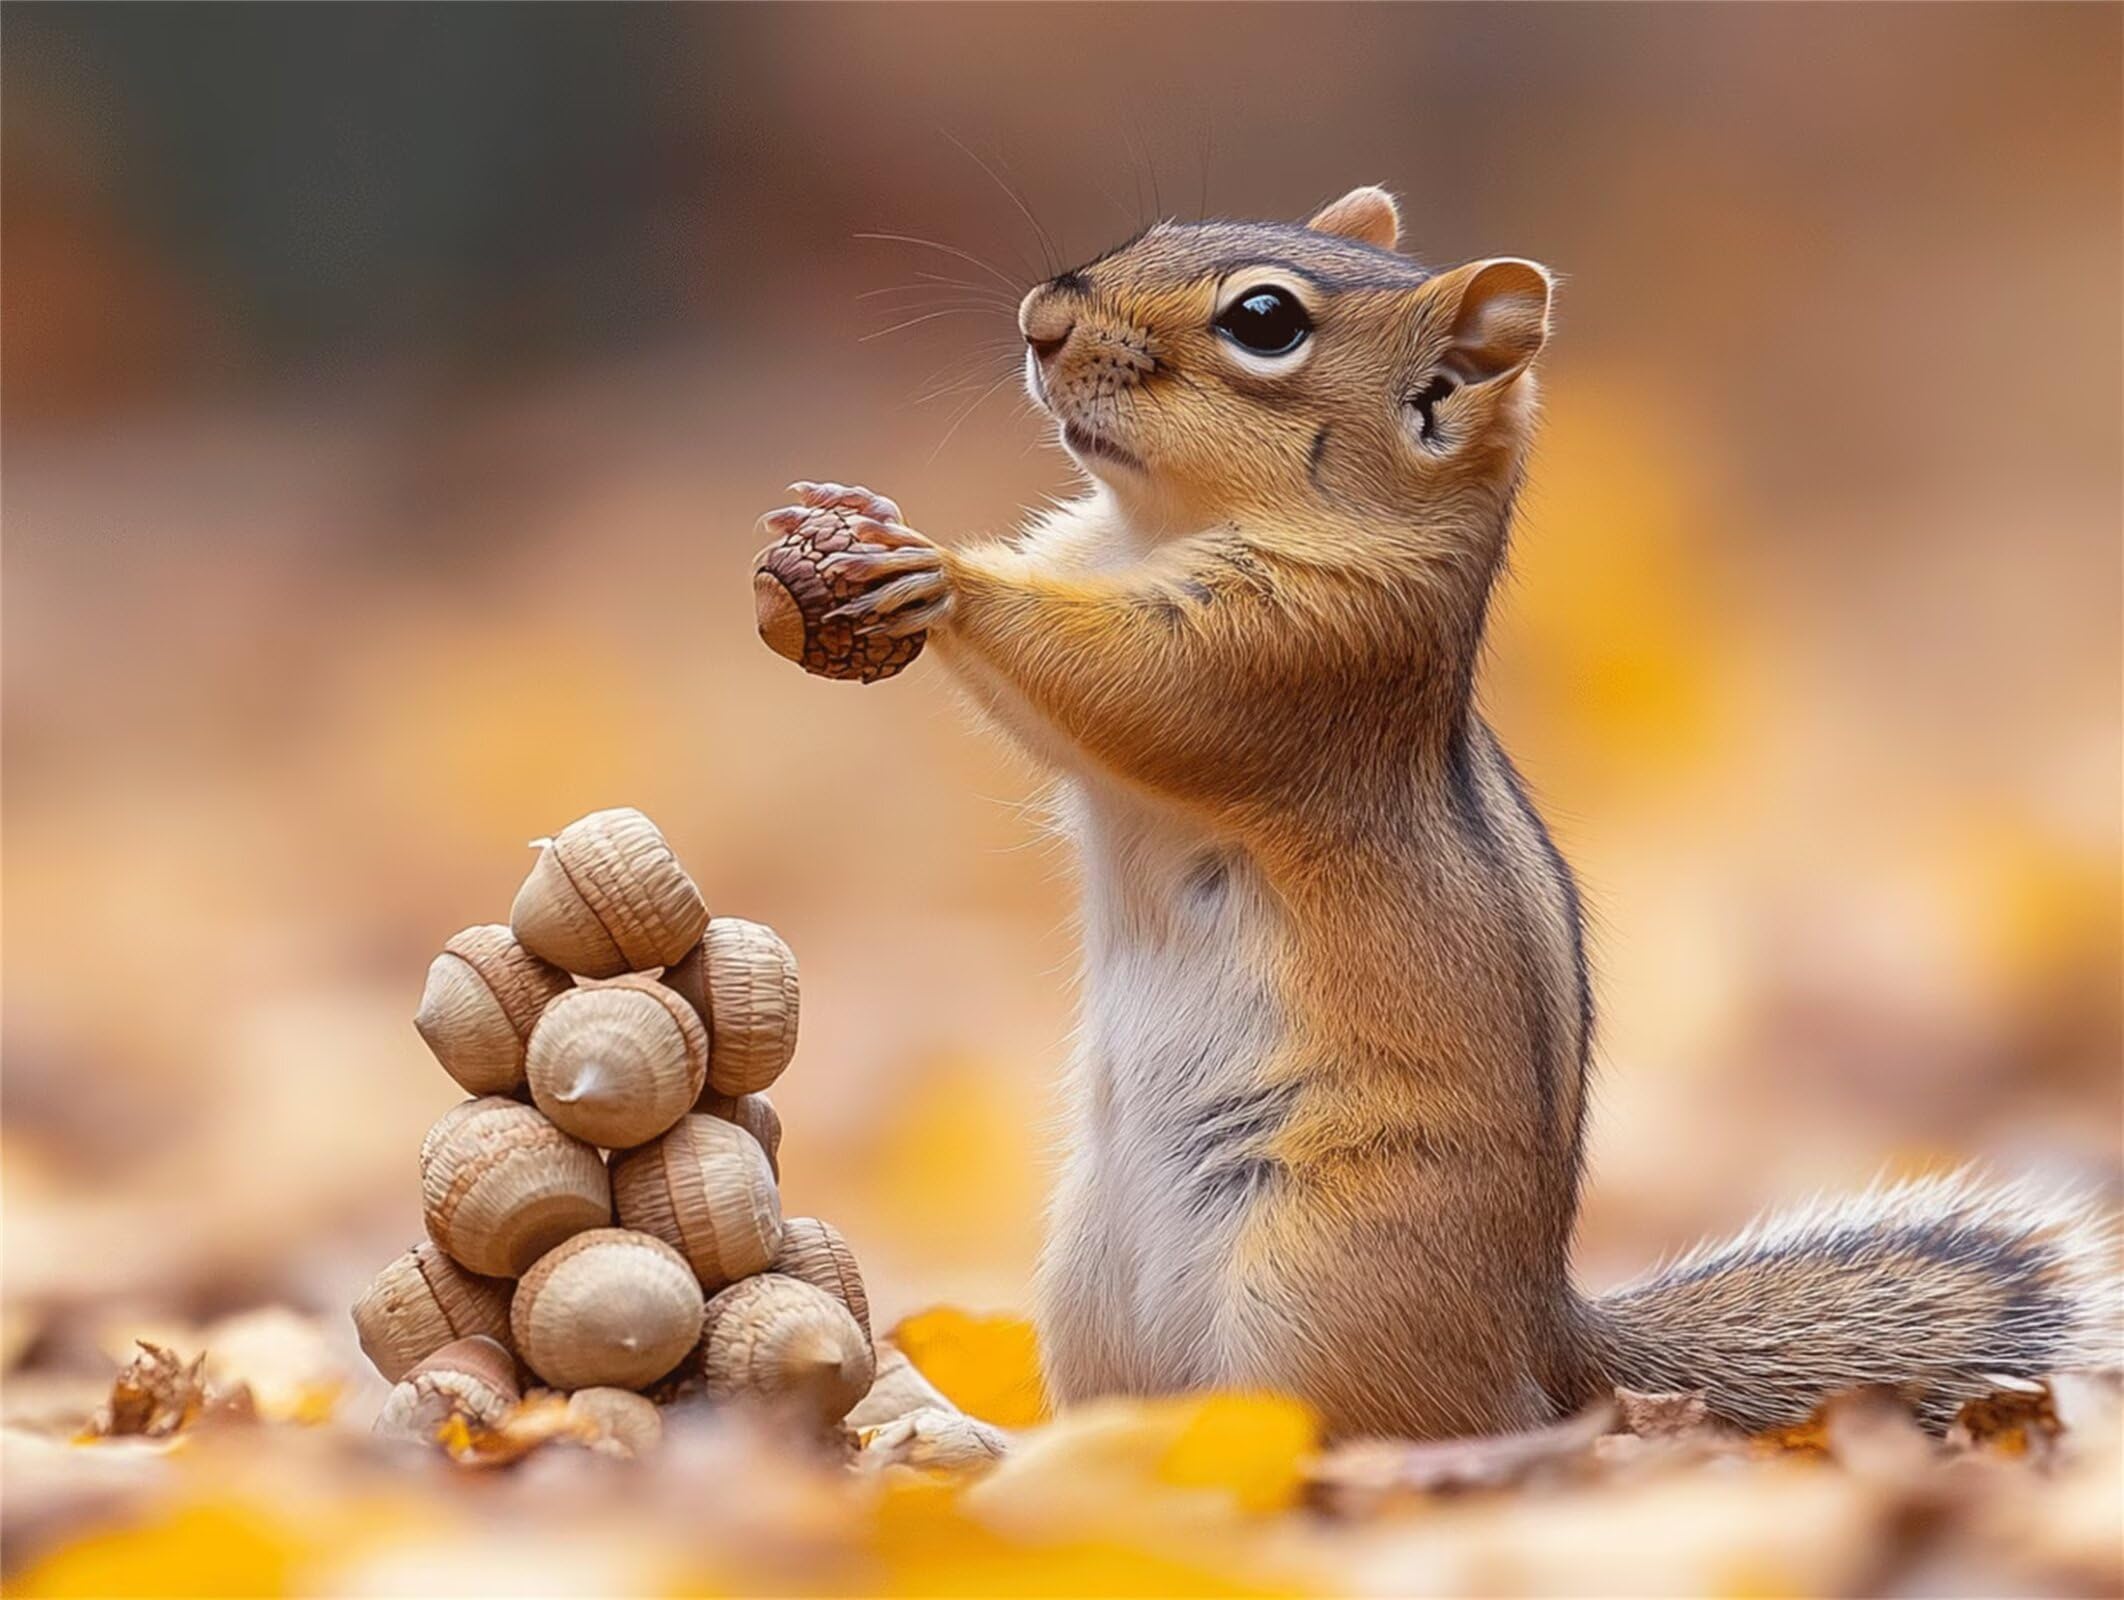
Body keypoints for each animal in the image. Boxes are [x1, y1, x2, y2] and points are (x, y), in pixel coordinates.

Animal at [762, 185, 2121, 1439]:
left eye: (1265, 321)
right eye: (1160, 225)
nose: (1040, 322)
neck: (1162, 526)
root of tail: (1544, 1347)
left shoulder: (1298, 658)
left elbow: (1123, 688)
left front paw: (934, 570)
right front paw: (846, 520)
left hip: (1324, 1277)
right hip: (1091, 1293)